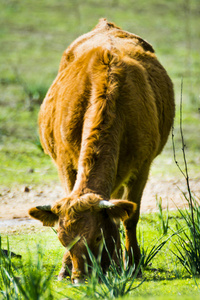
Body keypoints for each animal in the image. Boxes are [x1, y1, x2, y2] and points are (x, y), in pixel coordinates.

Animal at [28, 19, 175, 284]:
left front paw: (131, 264)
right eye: (62, 240)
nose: (80, 278)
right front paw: (65, 268)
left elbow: (129, 217)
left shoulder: (142, 167)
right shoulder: (65, 165)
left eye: (96, 237)